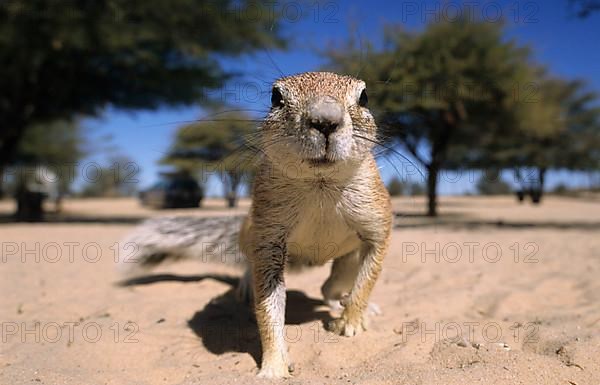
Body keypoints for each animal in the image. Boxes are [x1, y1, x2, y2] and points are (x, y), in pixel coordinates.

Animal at [122, 72, 394, 378]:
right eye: (276, 97)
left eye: (364, 97)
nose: (325, 121)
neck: (320, 183)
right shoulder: (268, 234)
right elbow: (267, 306)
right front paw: (274, 365)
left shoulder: (377, 221)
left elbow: (367, 278)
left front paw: (351, 321)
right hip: (248, 230)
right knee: (251, 263)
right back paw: (245, 284)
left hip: (347, 256)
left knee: (333, 286)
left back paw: (345, 303)